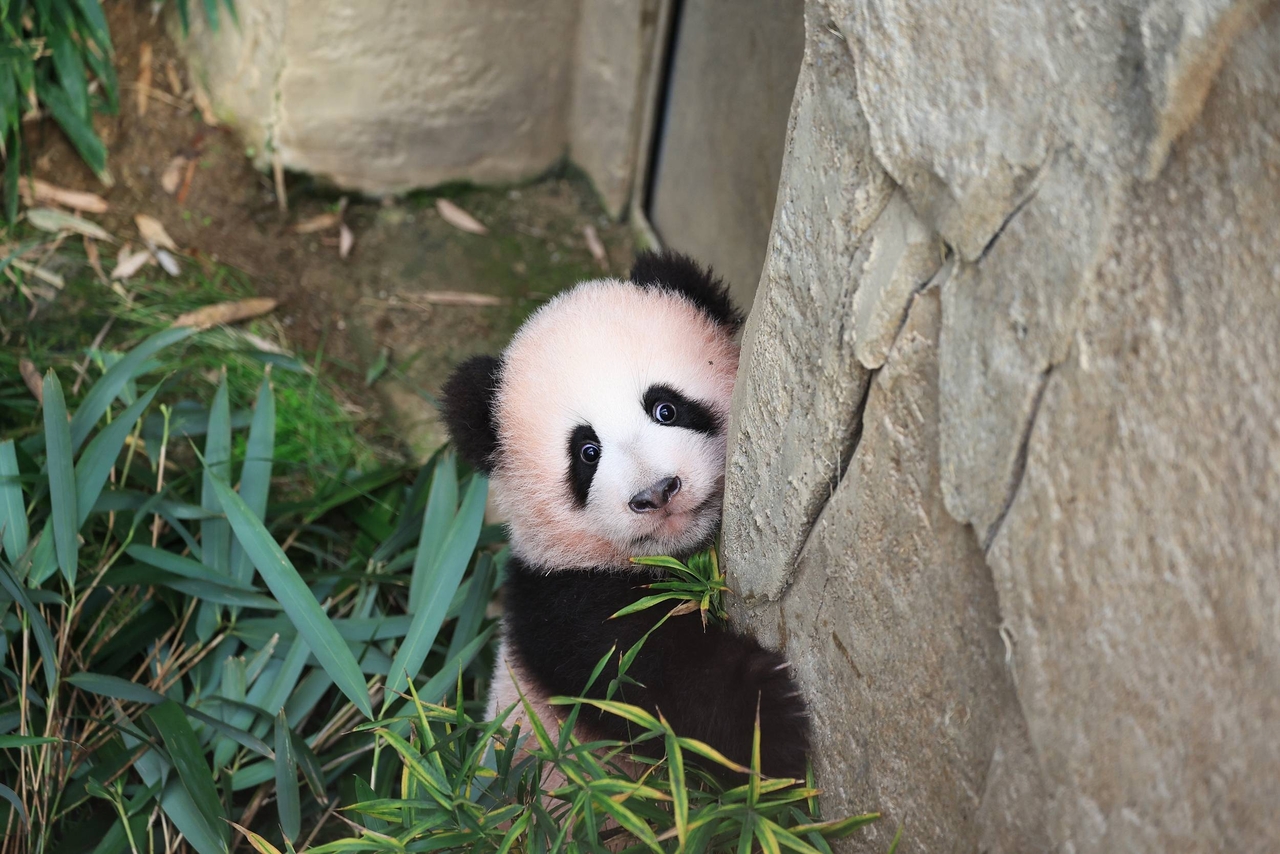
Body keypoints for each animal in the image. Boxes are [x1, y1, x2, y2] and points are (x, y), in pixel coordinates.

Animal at [440, 250, 810, 781]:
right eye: (587, 453)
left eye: (665, 408)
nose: (656, 492)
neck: (674, 559)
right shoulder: (556, 596)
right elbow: (636, 675)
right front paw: (768, 727)